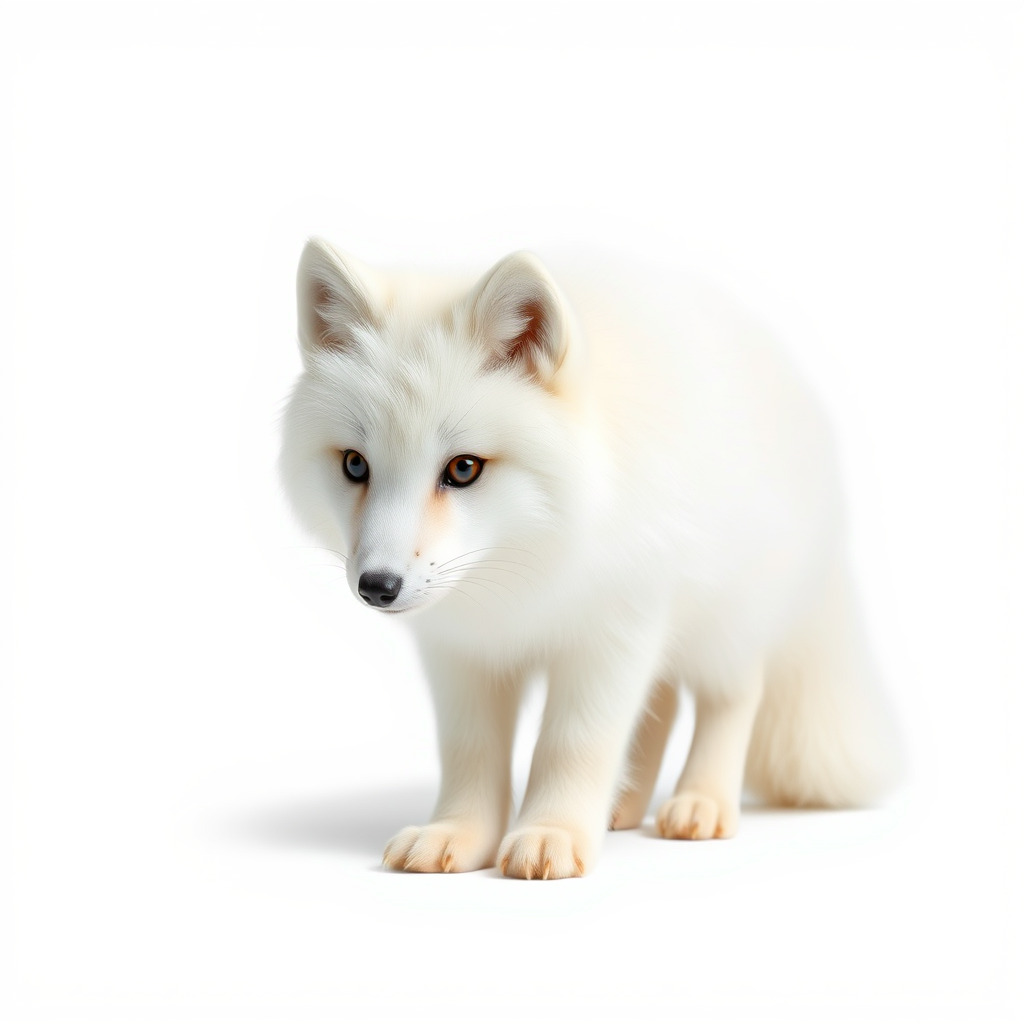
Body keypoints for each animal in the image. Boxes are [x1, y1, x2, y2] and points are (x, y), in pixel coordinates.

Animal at [279, 238, 902, 879]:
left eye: (463, 468)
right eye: (355, 464)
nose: (377, 586)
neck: (522, 575)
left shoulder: (611, 636)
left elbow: (574, 744)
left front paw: (550, 833)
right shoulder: (462, 653)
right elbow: (470, 752)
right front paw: (458, 832)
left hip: (724, 626)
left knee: (730, 700)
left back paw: (702, 802)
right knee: (662, 704)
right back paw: (623, 805)